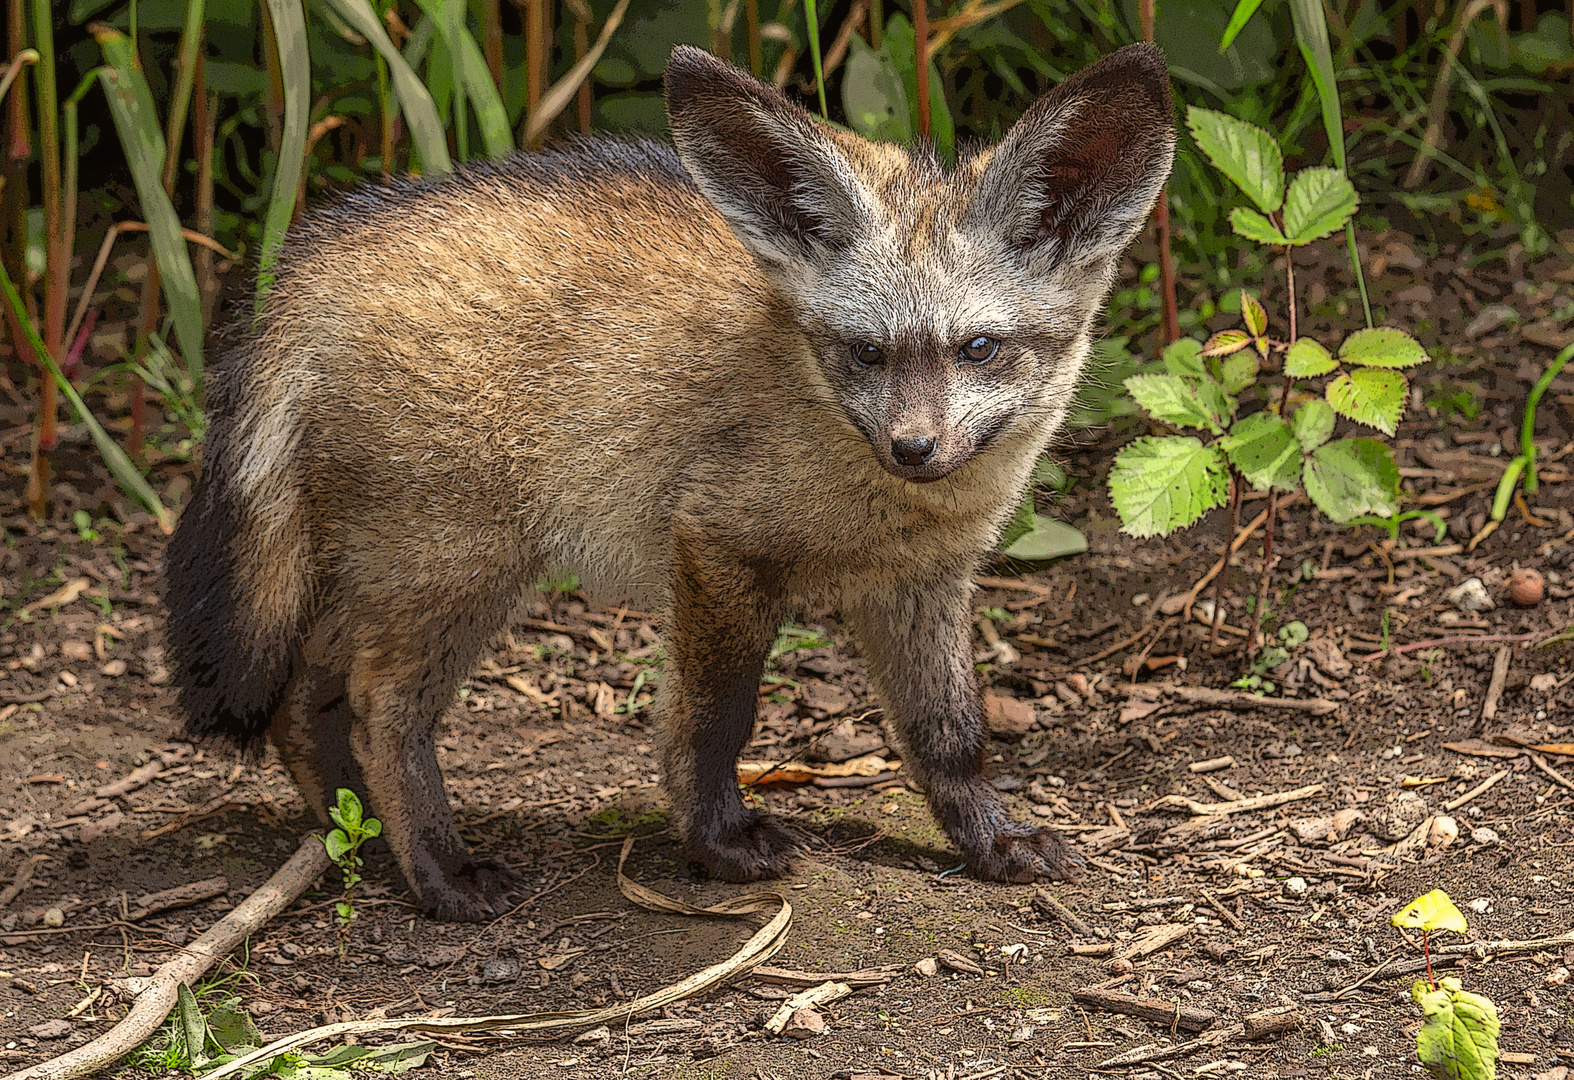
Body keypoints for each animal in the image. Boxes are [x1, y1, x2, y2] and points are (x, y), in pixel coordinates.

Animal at [166, 44, 1177, 919]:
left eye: (979, 349)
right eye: (865, 352)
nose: (914, 447)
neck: (878, 498)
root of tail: (317, 256)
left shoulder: (921, 583)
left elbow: (951, 737)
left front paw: (989, 841)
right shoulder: (716, 549)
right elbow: (712, 723)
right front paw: (717, 842)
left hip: (402, 570)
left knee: (306, 694)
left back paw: (358, 836)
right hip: (458, 571)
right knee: (379, 708)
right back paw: (439, 873)